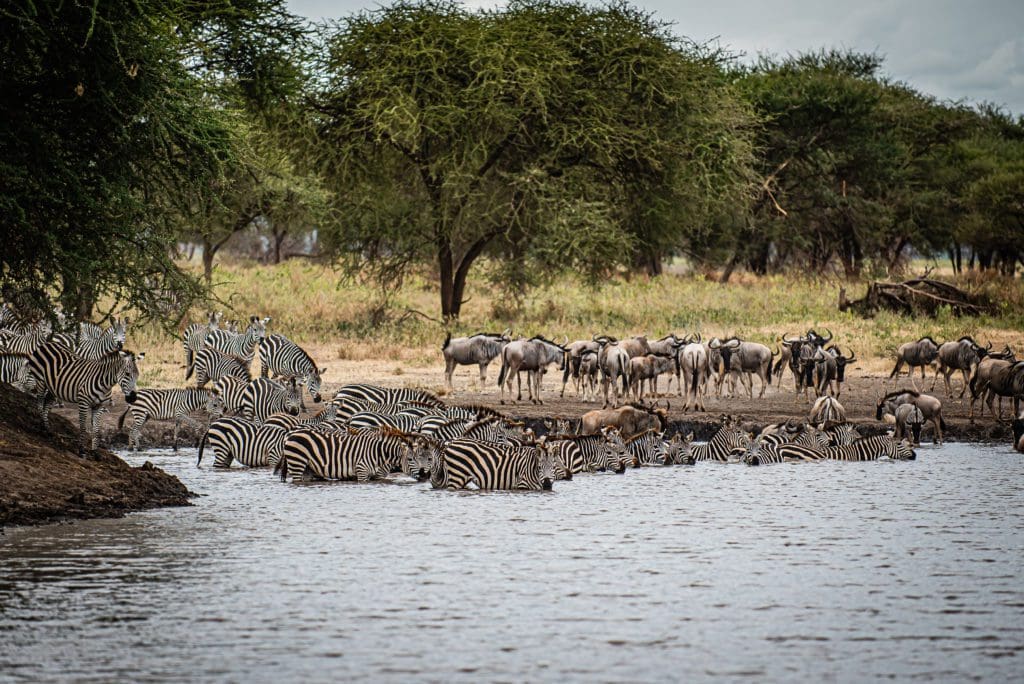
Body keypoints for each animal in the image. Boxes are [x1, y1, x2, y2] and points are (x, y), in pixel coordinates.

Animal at [278, 430, 413, 483]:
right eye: (411, 459)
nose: (423, 477)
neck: (377, 452)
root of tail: (288, 436)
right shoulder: (362, 470)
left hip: (307, 467)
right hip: (297, 462)